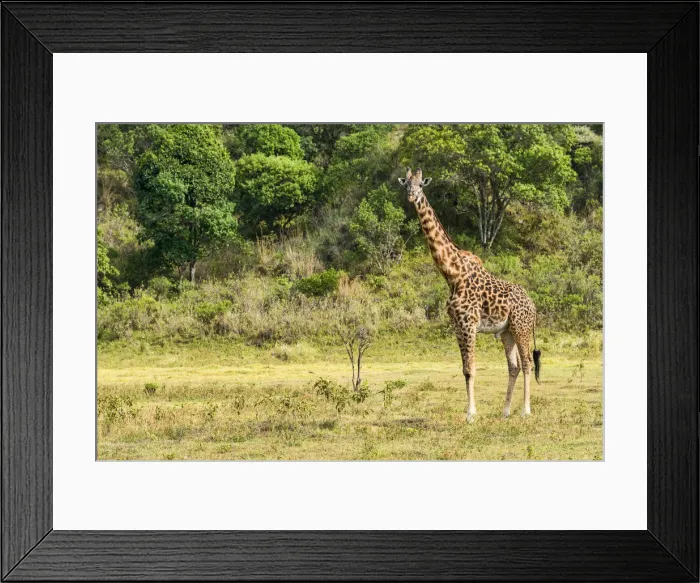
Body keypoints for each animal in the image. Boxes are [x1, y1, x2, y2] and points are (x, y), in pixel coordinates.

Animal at [398, 168, 541, 422]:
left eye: (421, 185)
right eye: (406, 184)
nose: (412, 197)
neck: (452, 274)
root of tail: (532, 305)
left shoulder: (468, 324)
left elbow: (471, 369)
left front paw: (470, 415)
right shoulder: (457, 326)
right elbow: (464, 369)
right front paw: (472, 412)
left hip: (521, 327)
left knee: (526, 364)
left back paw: (525, 411)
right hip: (507, 332)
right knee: (513, 366)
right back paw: (505, 412)